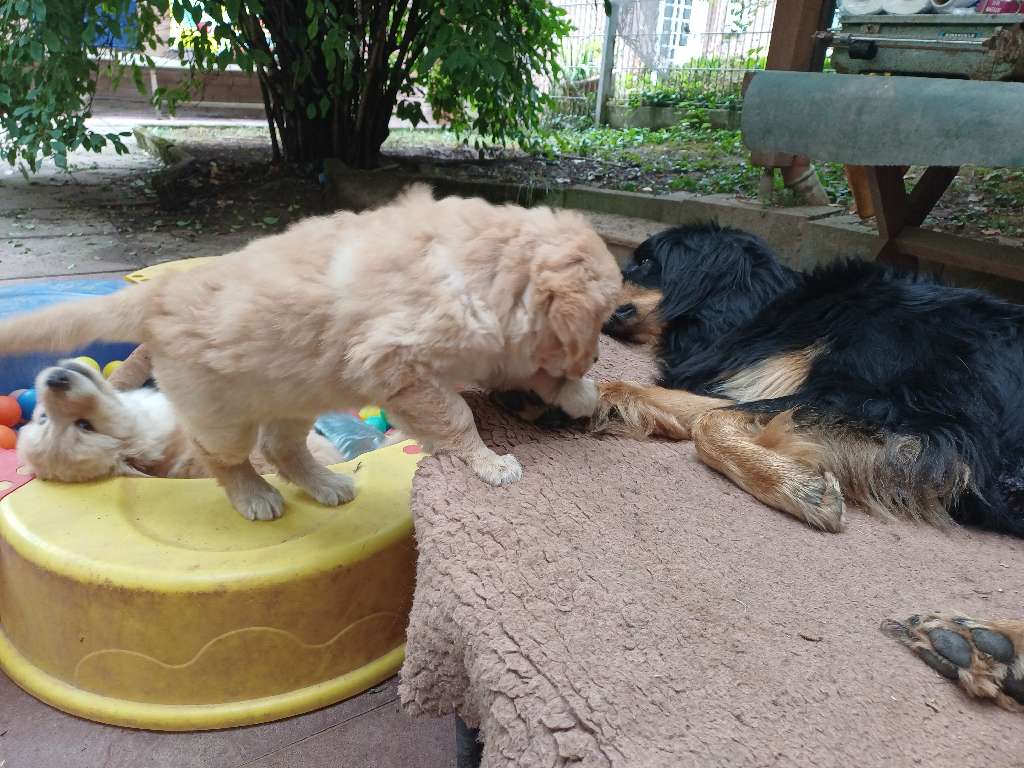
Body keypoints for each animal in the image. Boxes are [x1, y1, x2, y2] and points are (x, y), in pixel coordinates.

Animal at [0, 186, 621, 520]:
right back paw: (254, 498)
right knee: (218, 455)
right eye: (599, 322)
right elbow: (458, 416)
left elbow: (533, 372)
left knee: (280, 446)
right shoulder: (401, 367)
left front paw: (580, 394)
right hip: (223, 413)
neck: (487, 271)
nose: (593, 361)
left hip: (294, 391)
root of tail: (160, 292)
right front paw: (490, 462)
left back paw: (326, 484)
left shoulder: (498, 348)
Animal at [594, 223, 1024, 539]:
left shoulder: (905, 413)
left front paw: (800, 487)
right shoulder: (775, 385)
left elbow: (710, 423)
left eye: (645, 261)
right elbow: (686, 404)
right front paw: (604, 399)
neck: (760, 309)